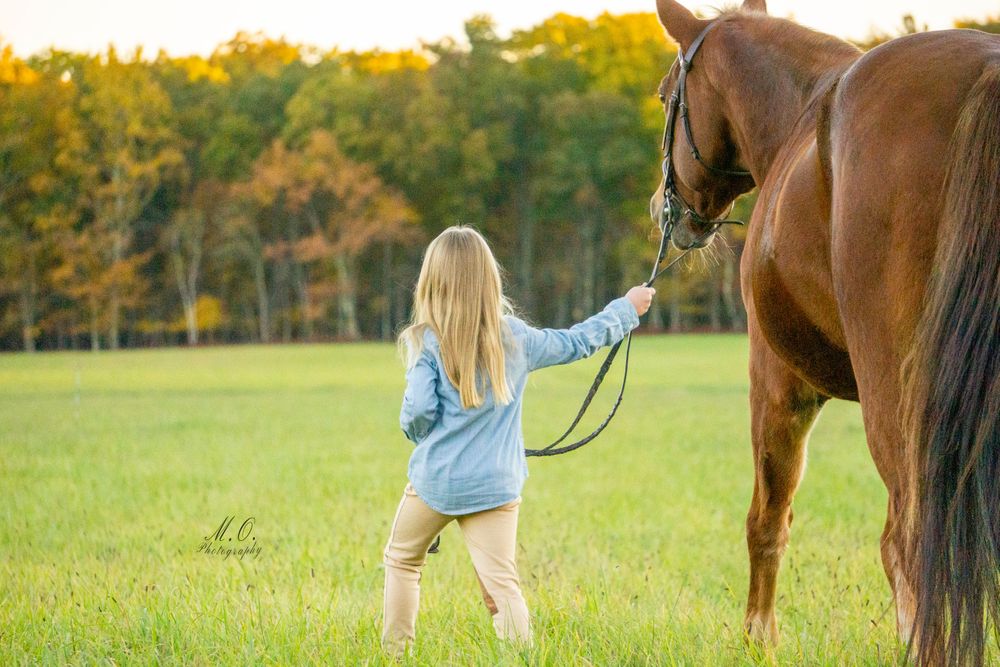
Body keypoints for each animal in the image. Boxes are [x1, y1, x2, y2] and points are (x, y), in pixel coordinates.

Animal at [649, 1, 1000, 664]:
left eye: (664, 96)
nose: (662, 205)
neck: (806, 116)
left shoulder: (778, 381)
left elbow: (768, 519)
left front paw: (759, 637)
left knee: (912, 542)